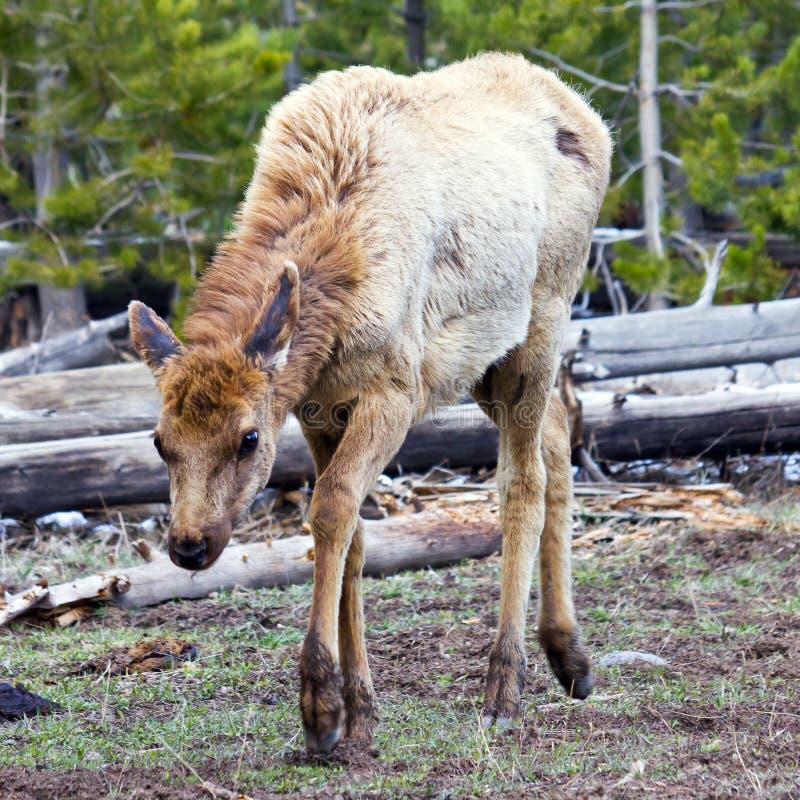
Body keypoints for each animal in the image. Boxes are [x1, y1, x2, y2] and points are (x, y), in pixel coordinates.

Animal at [128, 53, 608, 752]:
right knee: (557, 437)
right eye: (161, 441)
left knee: (523, 481)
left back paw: (504, 684)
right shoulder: (319, 408)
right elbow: (353, 531)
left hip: (544, 318)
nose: (189, 546)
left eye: (248, 438)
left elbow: (330, 511)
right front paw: (361, 708)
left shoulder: (393, 393)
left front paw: (321, 708)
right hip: (490, 363)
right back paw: (568, 654)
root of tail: (587, 115)